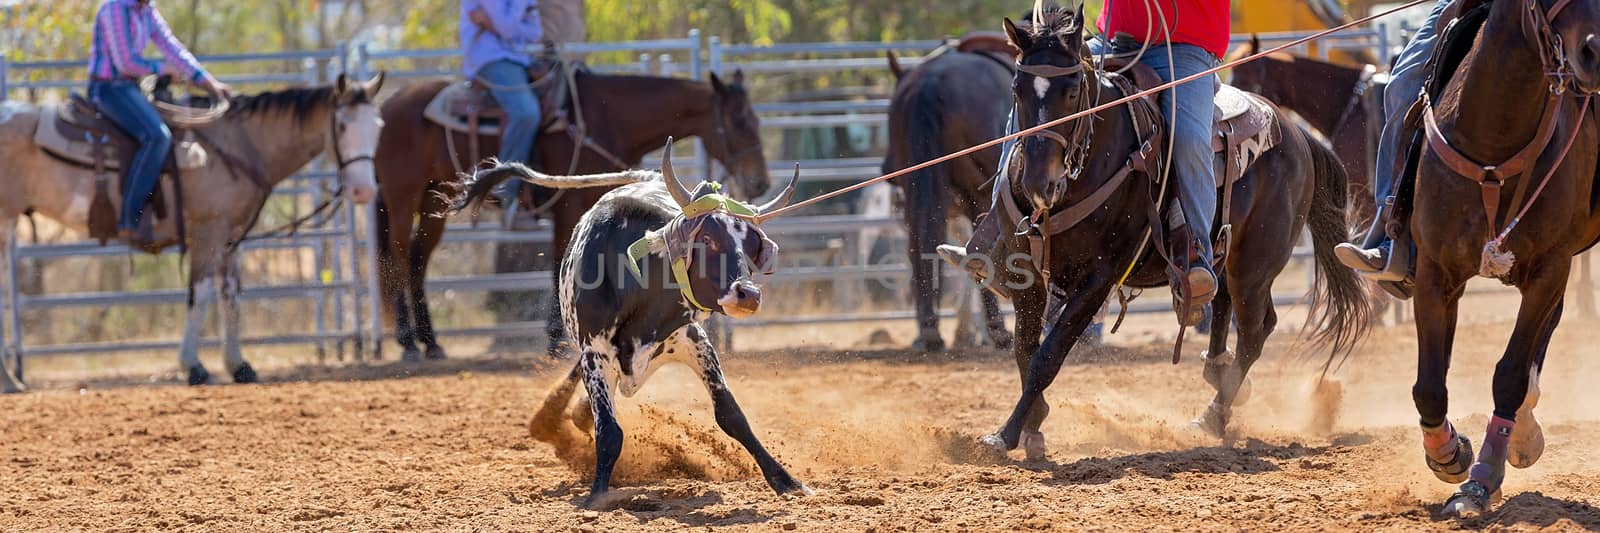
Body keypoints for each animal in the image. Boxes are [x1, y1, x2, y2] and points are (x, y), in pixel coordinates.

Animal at [376, 68, 774, 358]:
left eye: (757, 120)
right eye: (738, 121)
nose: (759, 182)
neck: (607, 118)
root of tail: (387, 106)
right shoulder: (568, 207)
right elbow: (557, 264)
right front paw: (557, 339)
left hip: (433, 204)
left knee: (417, 261)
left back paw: (431, 343)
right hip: (402, 196)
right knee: (398, 255)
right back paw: (409, 342)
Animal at [464, 140, 812, 505]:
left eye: (750, 245)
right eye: (707, 239)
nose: (748, 294)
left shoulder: (692, 339)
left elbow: (731, 415)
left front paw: (786, 480)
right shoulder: (595, 350)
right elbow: (609, 431)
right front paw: (597, 495)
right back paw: (553, 419)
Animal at [889, 39, 1011, 350]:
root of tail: (931, 84)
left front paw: (965, 331)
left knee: (920, 243)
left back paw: (929, 330)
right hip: (981, 191)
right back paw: (998, 330)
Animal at [979, 9, 1369, 457]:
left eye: (1073, 90)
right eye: (1017, 88)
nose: (1038, 184)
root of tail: (1297, 134)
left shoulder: (1098, 279)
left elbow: (1048, 355)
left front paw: (1005, 434)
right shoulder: (1026, 273)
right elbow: (1026, 349)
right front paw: (1033, 422)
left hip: (1255, 265)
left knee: (1255, 331)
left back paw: (1213, 416)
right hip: (1226, 255)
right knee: (1222, 305)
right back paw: (1217, 373)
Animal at [1388, 0, 1600, 515]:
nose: (1596, 52)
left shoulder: (1550, 269)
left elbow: (1509, 374)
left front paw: (1480, 480)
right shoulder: (1435, 273)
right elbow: (1429, 384)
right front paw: (1449, 454)